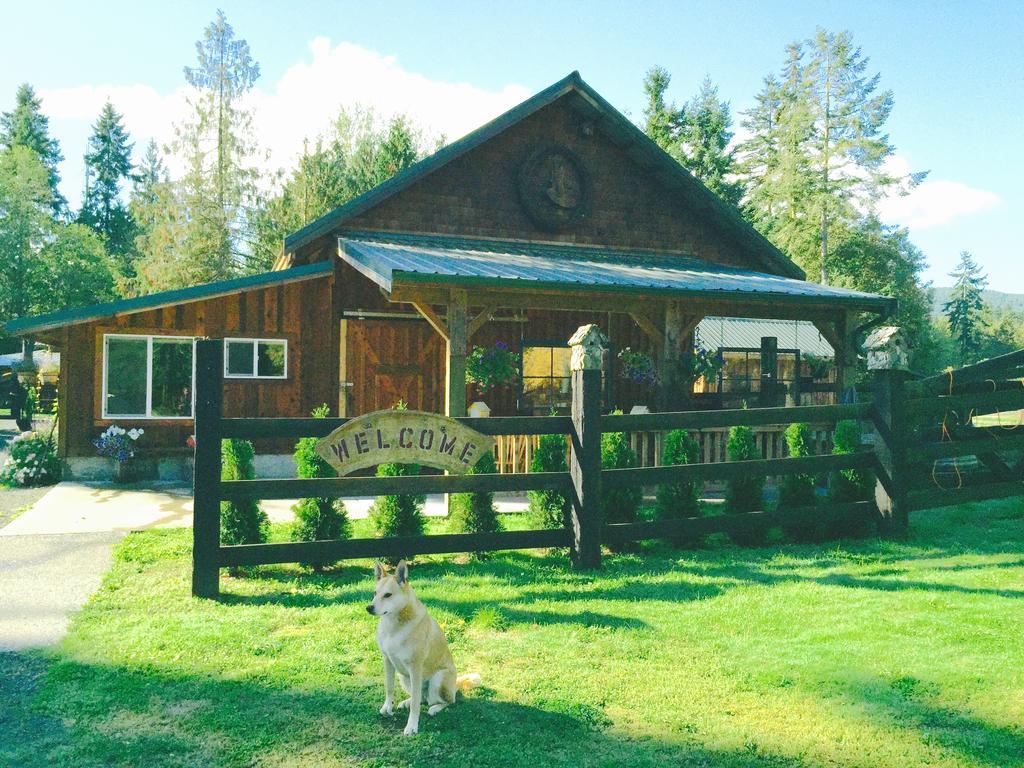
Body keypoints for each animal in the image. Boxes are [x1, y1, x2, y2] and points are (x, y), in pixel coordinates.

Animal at [366, 561, 481, 737]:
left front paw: (412, 726)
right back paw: (406, 702)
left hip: (437, 680)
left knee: (445, 701)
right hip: (404, 677)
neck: (394, 626)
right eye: (375, 593)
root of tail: (455, 685)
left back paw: (435, 708)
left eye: (388, 595)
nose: (369, 607)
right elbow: (389, 688)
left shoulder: (415, 667)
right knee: (421, 697)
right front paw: (387, 708)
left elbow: (416, 705)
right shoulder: (387, 660)